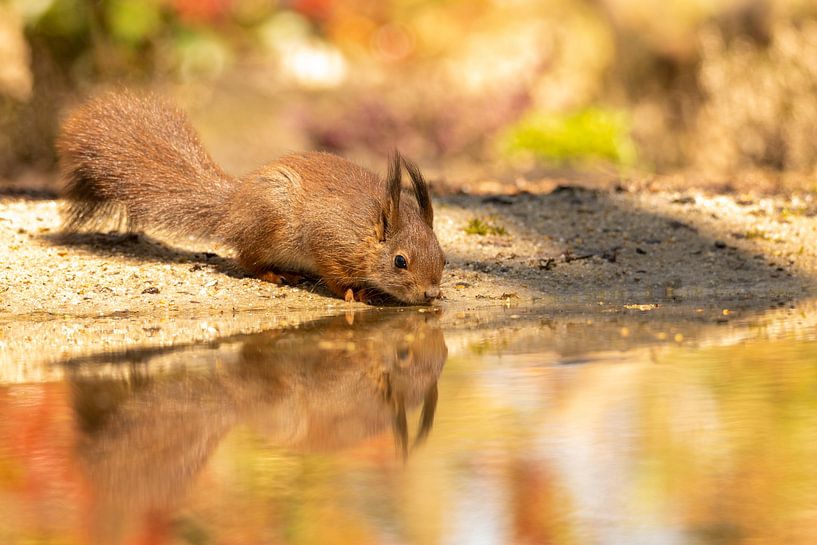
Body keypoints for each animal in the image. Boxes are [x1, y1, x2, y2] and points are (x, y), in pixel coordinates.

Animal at [56, 91, 445, 305]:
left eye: (443, 258)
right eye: (399, 261)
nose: (430, 295)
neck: (366, 231)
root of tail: (232, 206)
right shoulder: (328, 243)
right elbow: (335, 276)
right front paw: (357, 293)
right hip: (269, 224)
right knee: (246, 258)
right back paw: (276, 274)